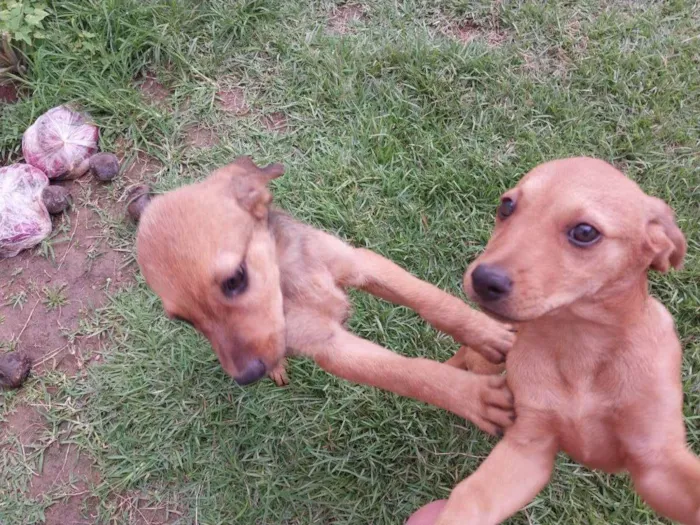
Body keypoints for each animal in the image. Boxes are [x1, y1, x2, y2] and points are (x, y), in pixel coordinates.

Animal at [137, 156, 516, 434]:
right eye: (185, 321)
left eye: (235, 279)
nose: (246, 377)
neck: (289, 278)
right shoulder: (330, 347)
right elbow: (411, 374)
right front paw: (472, 396)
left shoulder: (362, 263)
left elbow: (432, 300)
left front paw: (485, 332)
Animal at [434, 158, 696, 520]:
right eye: (507, 206)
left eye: (584, 232)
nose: (484, 279)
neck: (579, 345)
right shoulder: (528, 446)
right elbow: (470, 497)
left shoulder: (656, 461)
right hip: (487, 361)